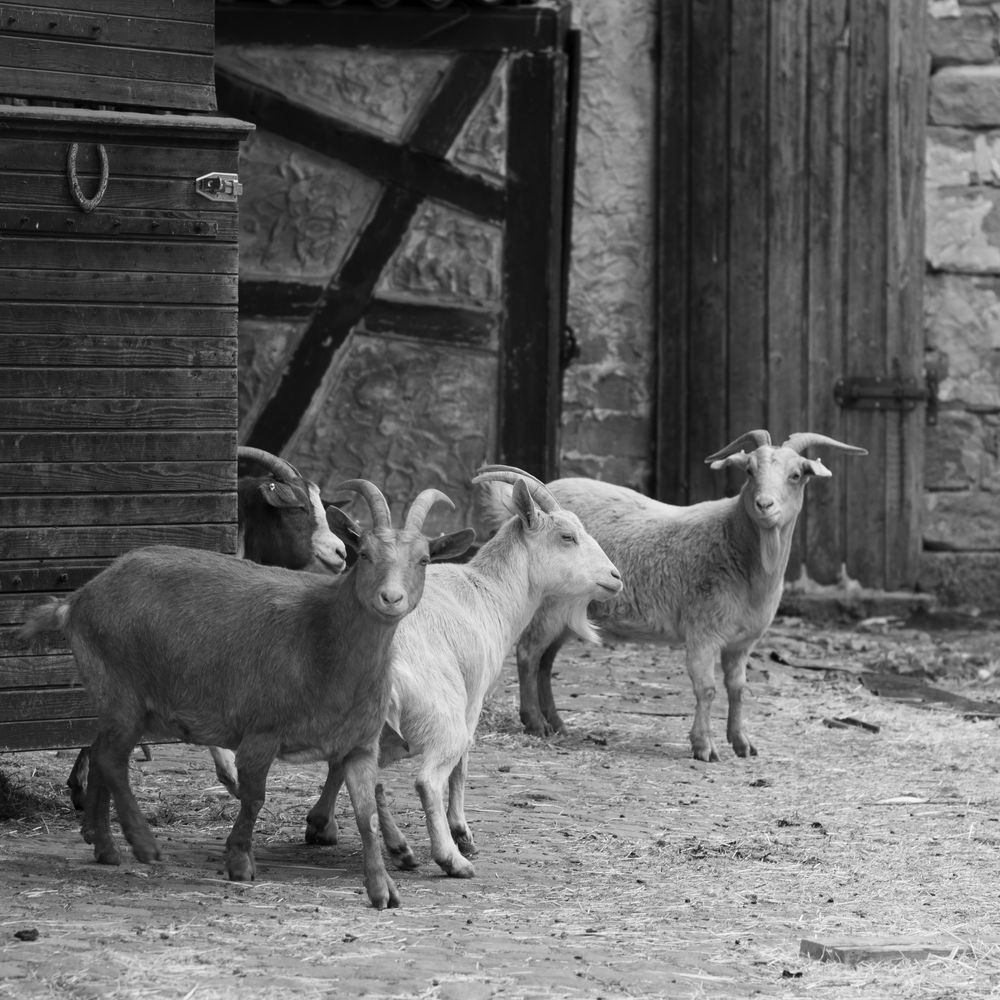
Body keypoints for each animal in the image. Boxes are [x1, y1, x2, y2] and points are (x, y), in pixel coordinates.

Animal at [18, 480, 472, 912]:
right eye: (364, 554)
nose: (391, 598)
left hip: (121, 699)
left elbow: (366, 817)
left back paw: (105, 846)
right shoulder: (261, 731)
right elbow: (254, 797)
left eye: (424, 560)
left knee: (100, 753)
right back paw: (143, 844)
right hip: (123, 689)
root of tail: (77, 601)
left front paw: (382, 890)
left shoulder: (359, 745)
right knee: (112, 759)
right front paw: (238, 861)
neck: (320, 636)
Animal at [300, 474, 620, 876]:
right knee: (427, 778)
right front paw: (463, 833)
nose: (615, 577)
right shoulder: (473, 698)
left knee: (359, 771)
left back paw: (395, 847)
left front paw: (320, 824)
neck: (487, 591)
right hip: (440, 717)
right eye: (567, 536)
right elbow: (463, 766)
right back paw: (450, 858)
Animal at [476, 426, 868, 760]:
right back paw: (535, 722)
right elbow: (706, 689)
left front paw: (741, 743)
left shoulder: (743, 641)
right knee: (528, 654)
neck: (737, 547)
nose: (765, 505)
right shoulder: (703, 632)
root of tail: (514, 510)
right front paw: (704, 746)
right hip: (549, 606)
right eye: (749, 471)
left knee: (546, 661)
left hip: (568, 613)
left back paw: (556, 722)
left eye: (797, 474)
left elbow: (738, 688)